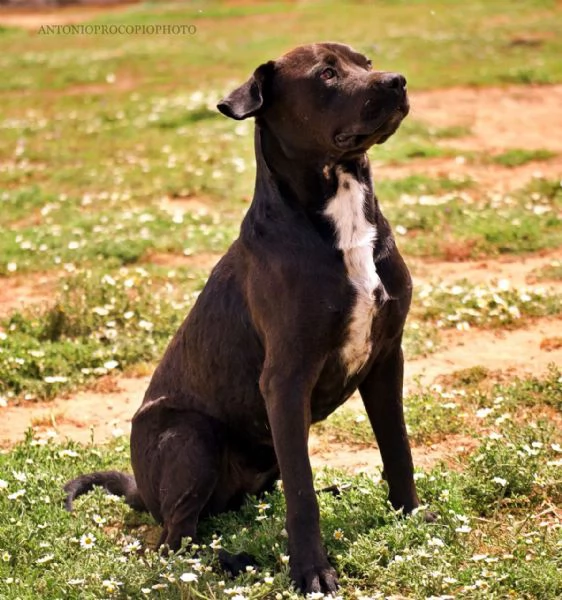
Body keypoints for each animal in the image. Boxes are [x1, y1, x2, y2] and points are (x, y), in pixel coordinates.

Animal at [65, 43, 422, 596]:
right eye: (326, 74)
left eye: (365, 62)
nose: (397, 81)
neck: (339, 215)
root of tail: (142, 491)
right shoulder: (286, 379)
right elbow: (302, 493)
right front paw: (311, 571)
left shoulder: (386, 358)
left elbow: (397, 450)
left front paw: (412, 518)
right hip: (190, 436)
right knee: (174, 540)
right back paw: (234, 560)